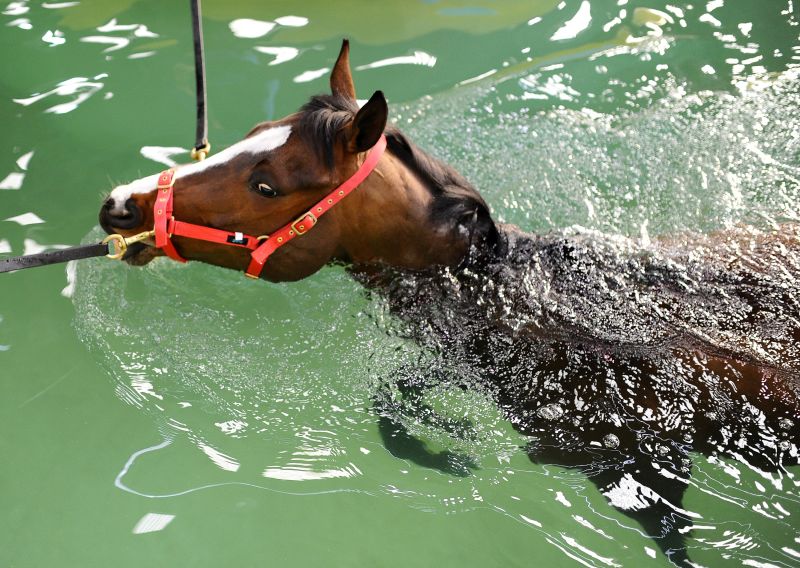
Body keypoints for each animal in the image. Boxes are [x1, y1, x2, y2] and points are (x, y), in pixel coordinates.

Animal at [97, 38, 796, 564]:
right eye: (250, 133)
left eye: (265, 184)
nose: (119, 204)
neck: (520, 299)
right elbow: (394, 397)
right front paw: (446, 442)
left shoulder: (631, 463)